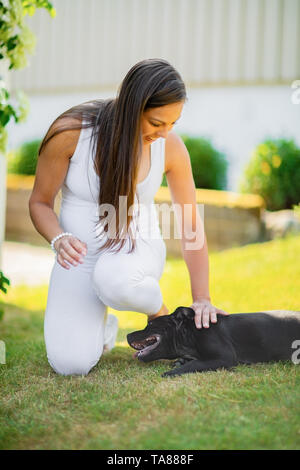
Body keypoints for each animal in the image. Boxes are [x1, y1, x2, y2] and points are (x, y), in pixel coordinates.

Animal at [126, 306, 300, 376]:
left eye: (149, 325)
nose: (127, 335)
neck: (191, 333)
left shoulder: (224, 357)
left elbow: (194, 364)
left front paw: (171, 372)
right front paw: (180, 362)